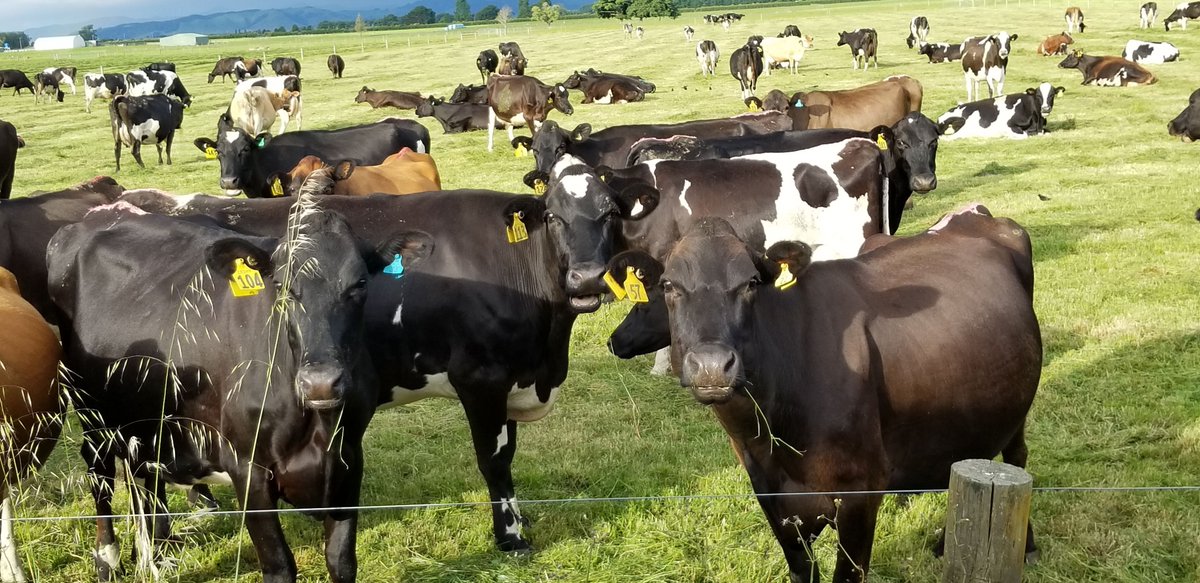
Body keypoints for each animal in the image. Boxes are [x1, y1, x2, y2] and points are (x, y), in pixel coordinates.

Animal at [48, 197, 433, 582]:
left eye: (360, 283)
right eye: (282, 285)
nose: (321, 382)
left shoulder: (348, 461)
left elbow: (341, 561)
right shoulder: (247, 468)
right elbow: (279, 566)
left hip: (146, 420)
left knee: (142, 476)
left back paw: (158, 553)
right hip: (91, 410)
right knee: (100, 473)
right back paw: (108, 558)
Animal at [604, 204, 1041, 583]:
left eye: (750, 284)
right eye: (668, 285)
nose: (712, 364)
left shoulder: (861, 492)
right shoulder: (774, 500)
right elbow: (802, 571)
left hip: (1017, 413)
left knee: (1015, 457)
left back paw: (1026, 545)